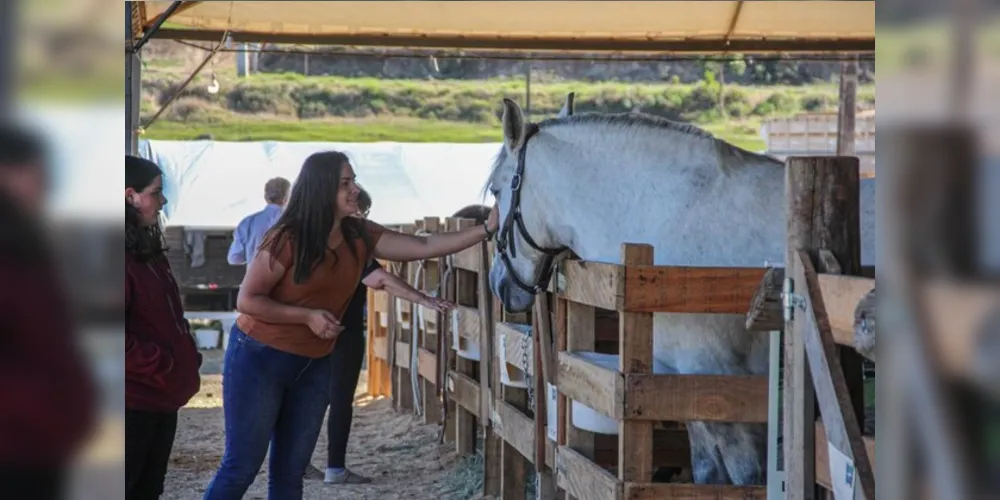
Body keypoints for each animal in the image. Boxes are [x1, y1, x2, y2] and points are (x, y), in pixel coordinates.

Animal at [484, 96, 788, 484]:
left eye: (496, 190)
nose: (497, 283)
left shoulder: (725, 385)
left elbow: (745, 476)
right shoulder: (685, 385)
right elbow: (708, 474)